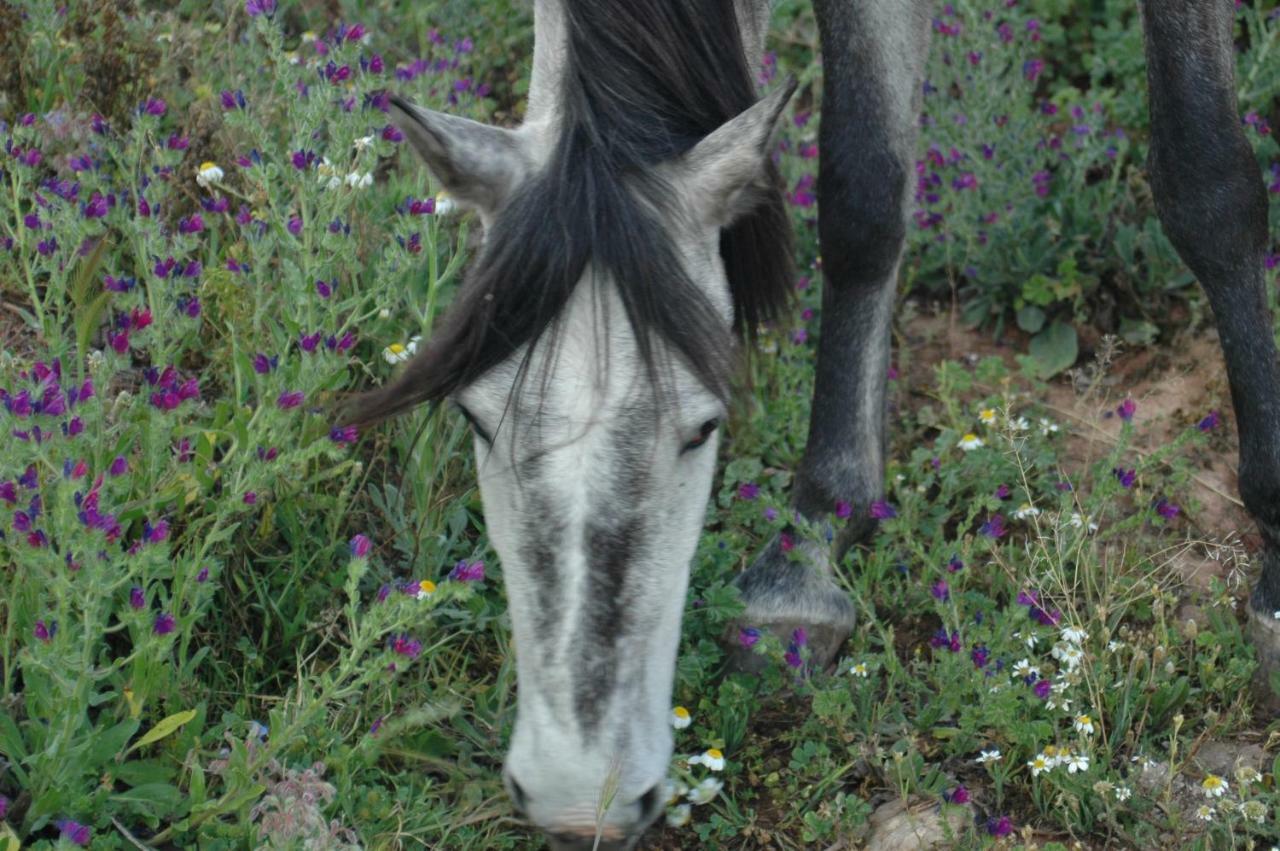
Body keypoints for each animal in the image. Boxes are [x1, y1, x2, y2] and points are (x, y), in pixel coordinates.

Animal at [343, 3, 1280, 844]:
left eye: (704, 426)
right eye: (475, 417)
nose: (582, 799)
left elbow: (1207, 178)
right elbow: (863, 193)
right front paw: (810, 547)